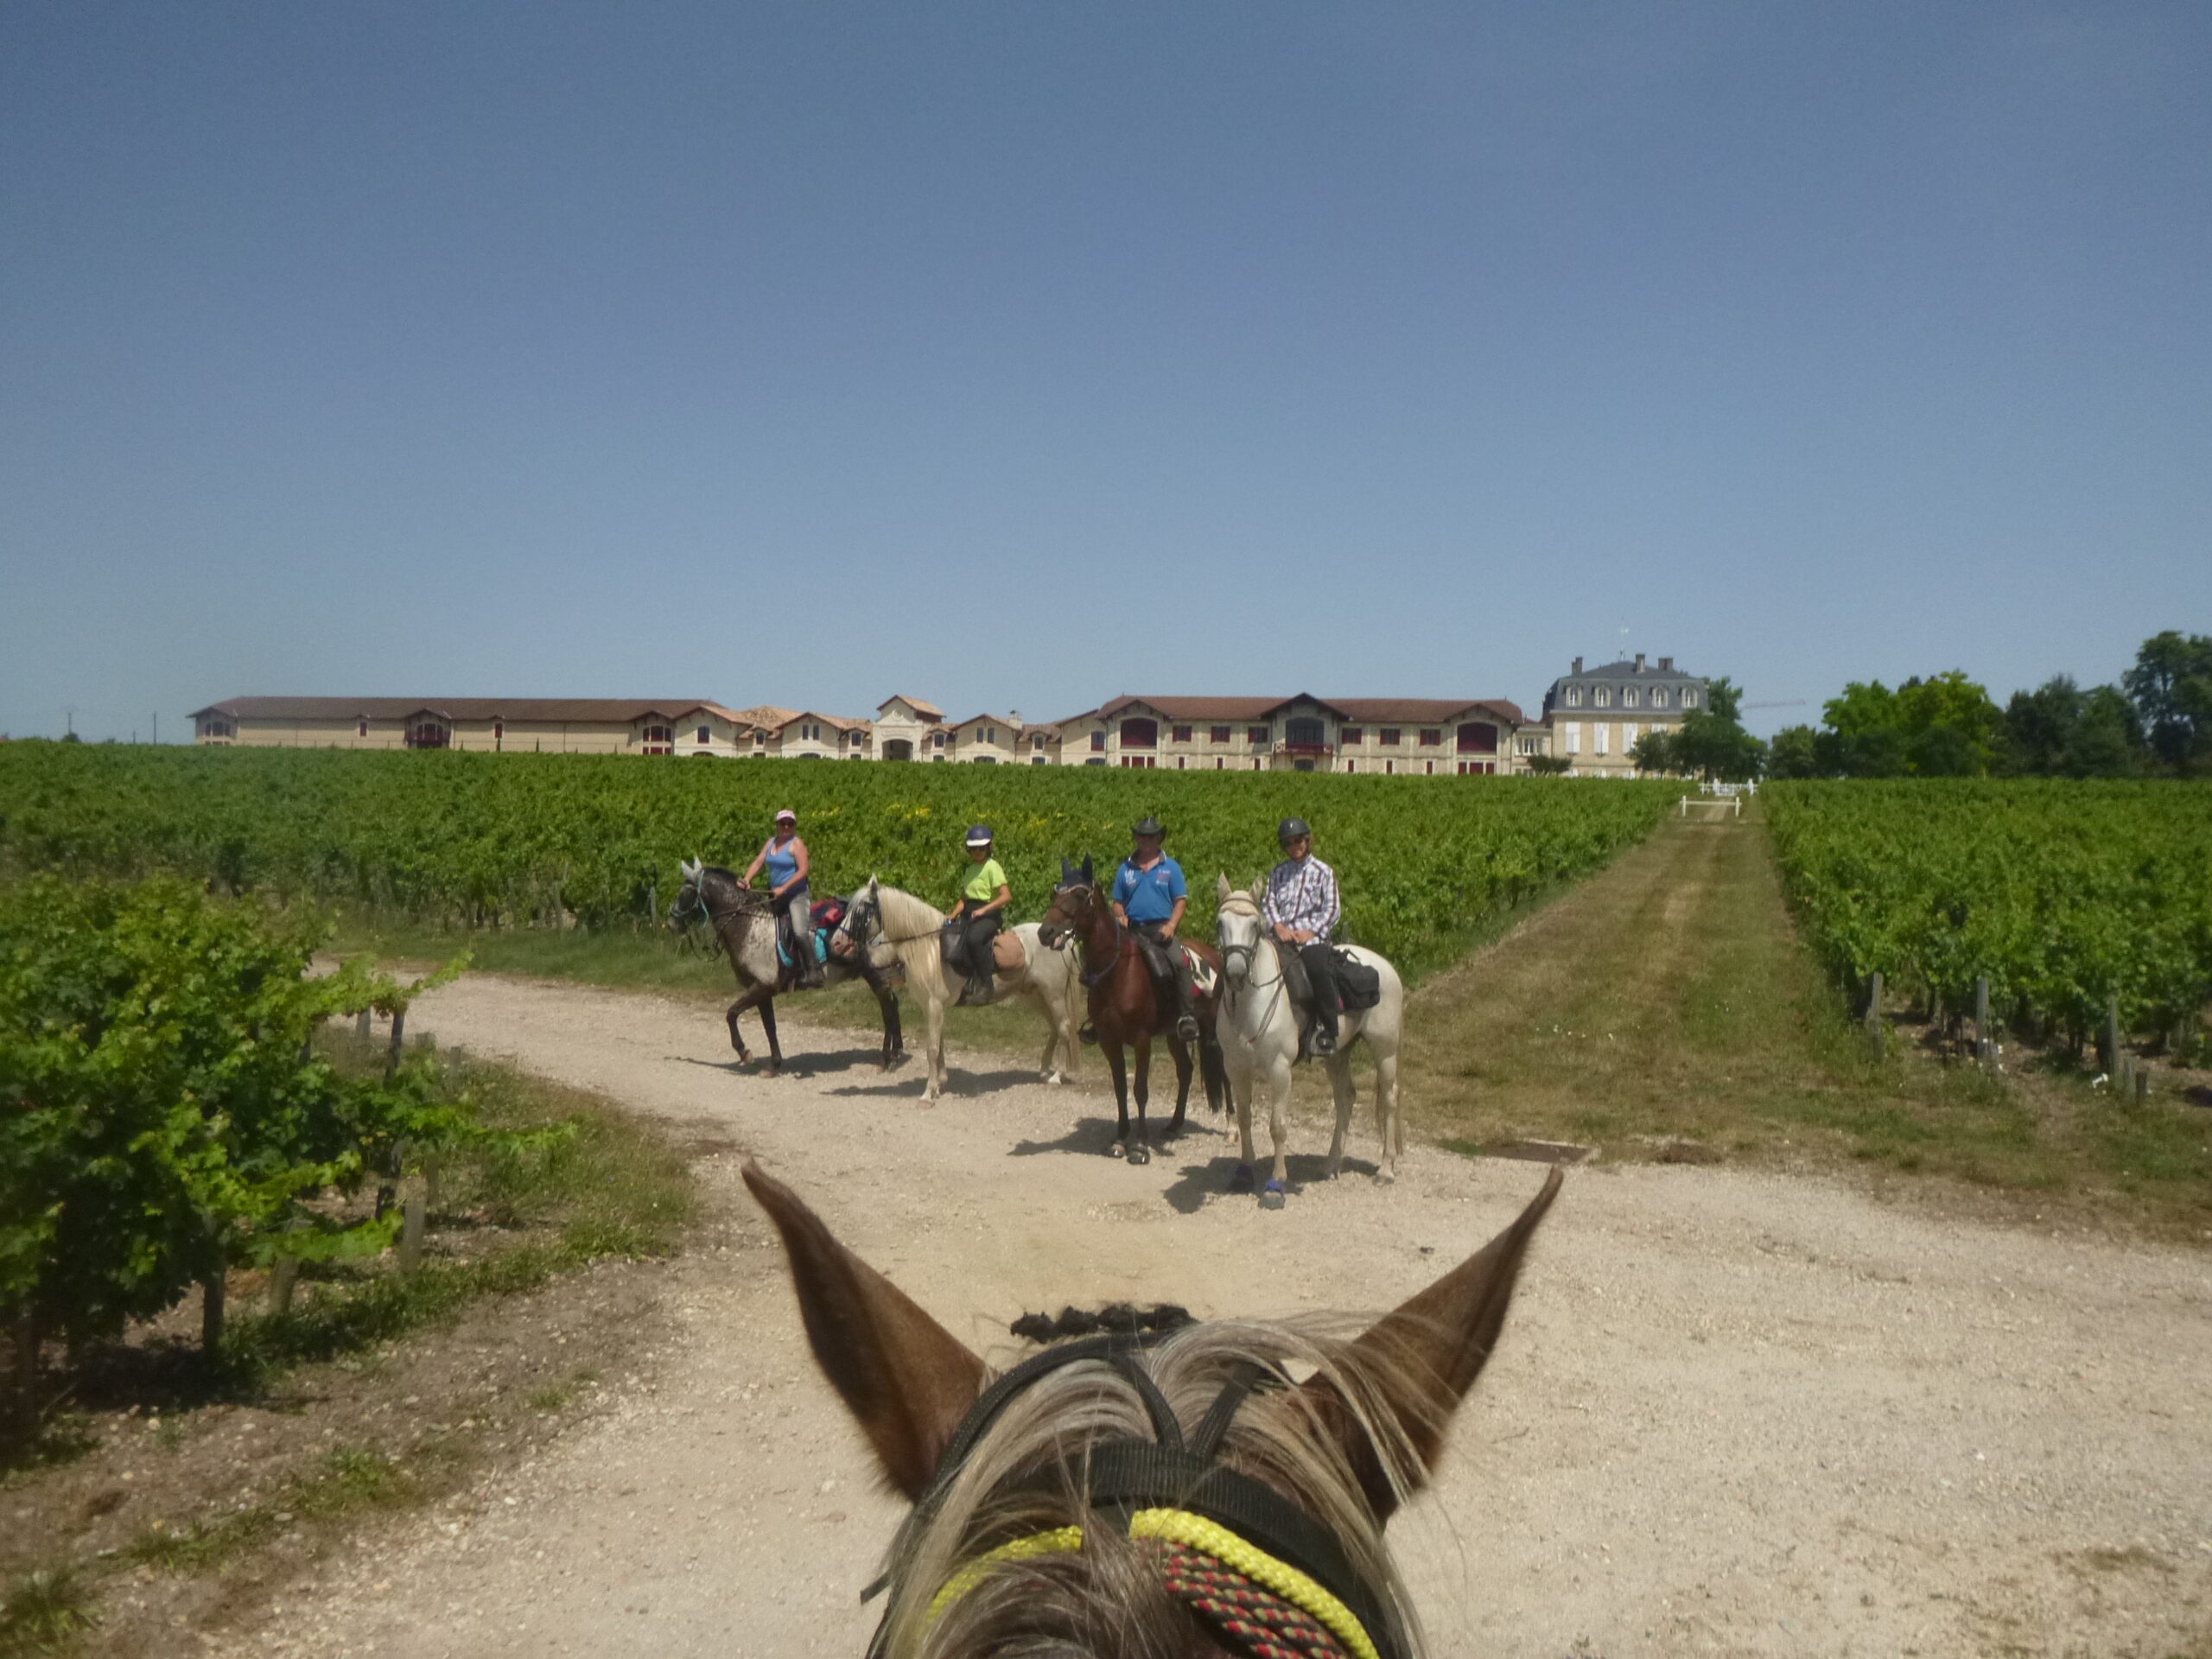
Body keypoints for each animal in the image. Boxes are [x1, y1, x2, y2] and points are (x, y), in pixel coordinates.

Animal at [668, 862, 902, 1084]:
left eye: (686, 893)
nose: (671, 923)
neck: (750, 926)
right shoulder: (763, 992)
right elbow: (769, 1028)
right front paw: (773, 1065)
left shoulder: (762, 987)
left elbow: (731, 1014)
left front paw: (745, 1053)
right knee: (893, 1003)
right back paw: (897, 1052)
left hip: (877, 974)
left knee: (887, 1010)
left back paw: (885, 1060)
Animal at [831, 875, 1084, 1110]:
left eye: (862, 911)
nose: (836, 943)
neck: (929, 950)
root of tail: (1060, 938)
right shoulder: (931, 1007)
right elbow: (939, 1045)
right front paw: (939, 1084)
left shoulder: (934, 1005)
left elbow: (932, 1049)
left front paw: (927, 1094)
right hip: (1035, 995)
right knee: (1054, 1027)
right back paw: (1044, 1070)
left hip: (1054, 994)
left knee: (1063, 1027)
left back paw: (1057, 1076)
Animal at [1030, 858, 1230, 1167]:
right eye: (1055, 893)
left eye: (1079, 894)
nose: (1046, 932)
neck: (1119, 971)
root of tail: (1215, 957)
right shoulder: (1109, 1040)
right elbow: (1120, 1088)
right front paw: (1120, 1140)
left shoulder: (1141, 1039)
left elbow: (1140, 1090)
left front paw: (1140, 1147)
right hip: (1174, 1034)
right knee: (1185, 1071)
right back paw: (1174, 1124)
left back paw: (1233, 1131)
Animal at [1211, 875, 1397, 1211]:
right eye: (1221, 923)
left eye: (1255, 925)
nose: (1235, 974)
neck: (1251, 1004)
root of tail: (1383, 966)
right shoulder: (1235, 1068)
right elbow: (1244, 1119)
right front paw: (1244, 1172)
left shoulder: (1280, 1069)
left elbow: (1277, 1126)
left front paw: (1275, 1185)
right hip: (1337, 1053)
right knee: (1345, 1097)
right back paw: (1332, 1164)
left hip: (1385, 1049)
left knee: (1390, 1098)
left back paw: (1386, 1170)